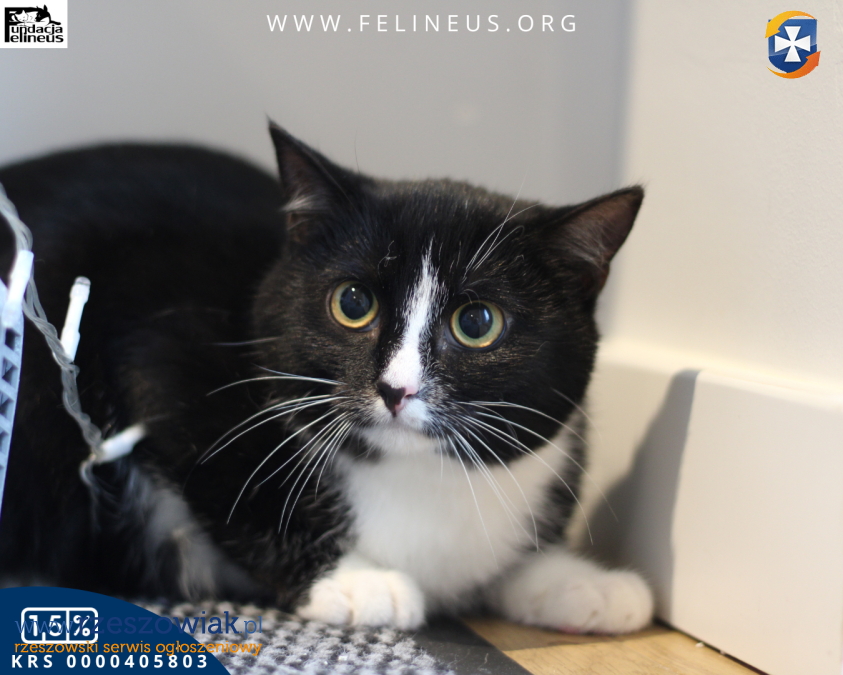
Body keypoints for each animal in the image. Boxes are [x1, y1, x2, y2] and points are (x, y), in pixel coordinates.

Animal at [0, 123, 653, 634]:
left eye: (477, 322)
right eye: (353, 303)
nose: (396, 389)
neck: (417, 474)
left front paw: (578, 582)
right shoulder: (157, 350)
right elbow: (233, 482)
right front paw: (356, 581)